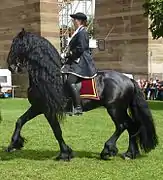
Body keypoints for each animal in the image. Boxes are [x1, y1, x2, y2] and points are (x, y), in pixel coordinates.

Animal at [6, 29, 158, 160]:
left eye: (17, 44)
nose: (11, 67)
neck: (47, 76)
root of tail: (129, 79)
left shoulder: (48, 110)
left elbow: (57, 130)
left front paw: (64, 153)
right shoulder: (38, 107)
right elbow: (20, 121)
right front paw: (13, 144)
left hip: (115, 108)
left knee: (122, 126)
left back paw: (108, 150)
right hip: (119, 109)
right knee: (132, 126)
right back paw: (130, 153)